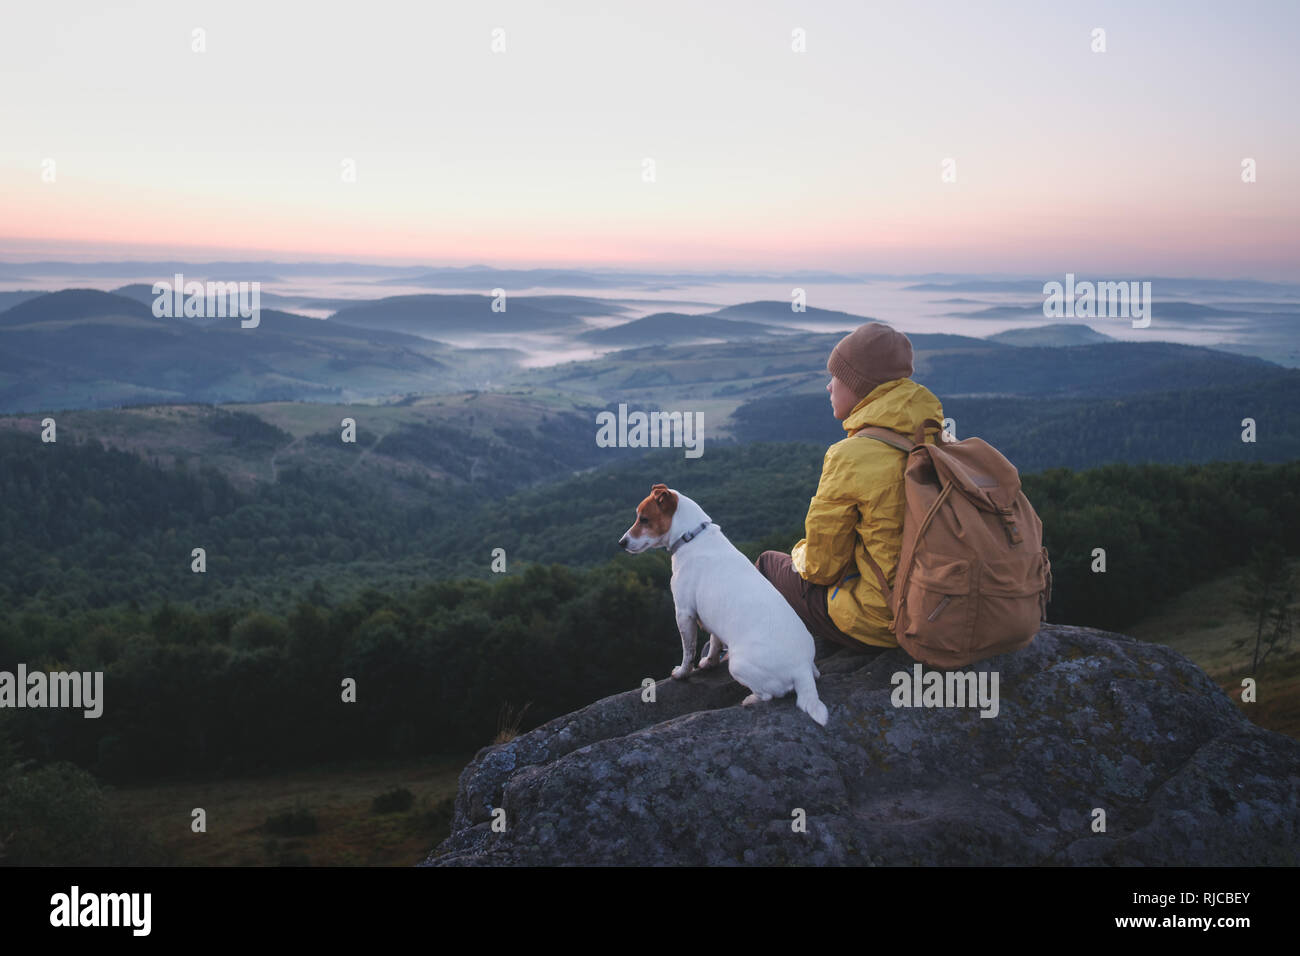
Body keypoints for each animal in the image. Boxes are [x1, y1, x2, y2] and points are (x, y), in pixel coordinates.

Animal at [616, 486, 821, 723]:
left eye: (644, 519)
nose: (621, 542)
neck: (691, 537)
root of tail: (802, 670)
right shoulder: (709, 617)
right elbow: (713, 642)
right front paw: (710, 662)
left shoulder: (684, 613)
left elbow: (688, 651)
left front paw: (682, 673)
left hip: (738, 665)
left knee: (768, 695)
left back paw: (750, 699)